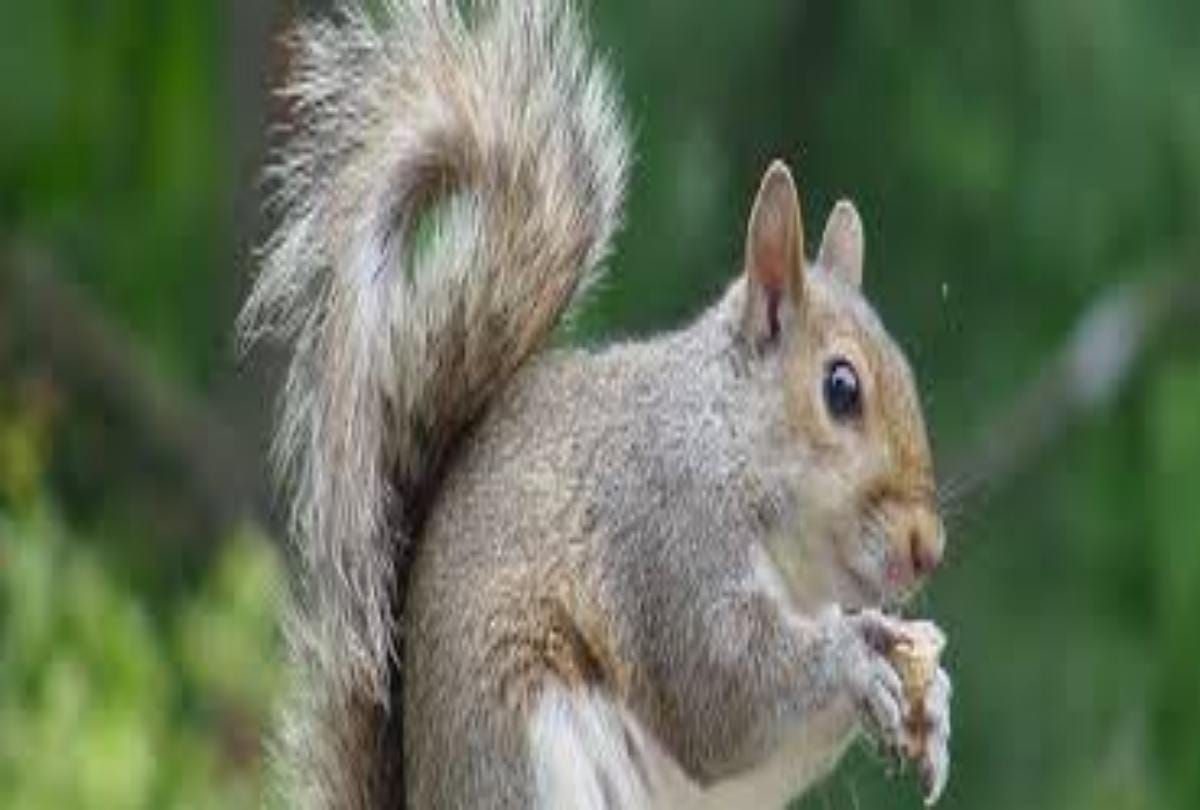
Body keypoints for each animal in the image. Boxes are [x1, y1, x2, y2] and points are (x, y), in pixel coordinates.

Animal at [240, 1, 952, 809]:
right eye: (841, 389)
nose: (929, 546)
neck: (729, 437)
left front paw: (932, 701)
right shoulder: (666, 535)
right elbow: (723, 696)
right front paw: (854, 656)